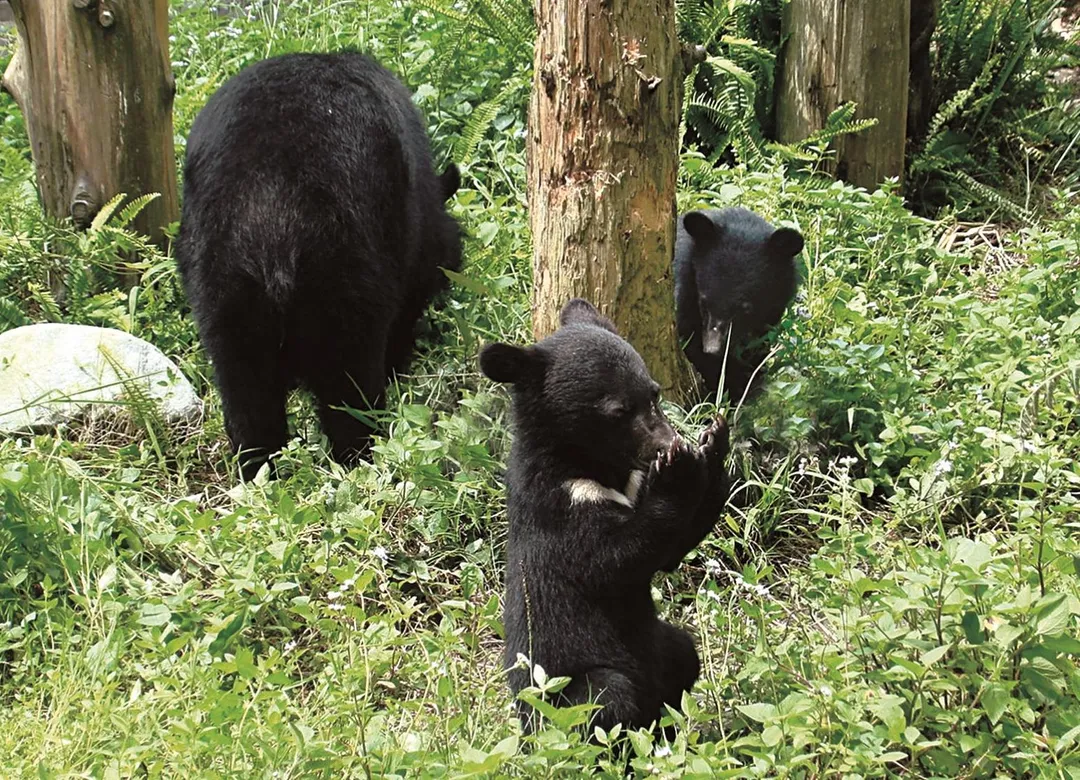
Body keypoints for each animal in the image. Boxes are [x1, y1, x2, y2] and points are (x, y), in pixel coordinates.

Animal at [175, 51, 463, 480]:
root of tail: (272, 210)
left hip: (223, 281)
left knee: (245, 390)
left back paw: (259, 472)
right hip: (344, 272)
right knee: (349, 387)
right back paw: (360, 459)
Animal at [479, 299, 731, 736]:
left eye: (655, 394)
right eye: (618, 410)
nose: (666, 442)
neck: (598, 468)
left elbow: (671, 550)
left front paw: (712, 442)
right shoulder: (561, 505)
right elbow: (614, 558)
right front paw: (678, 469)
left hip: (665, 645)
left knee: (684, 654)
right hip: (565, 692)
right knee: (606, 699)